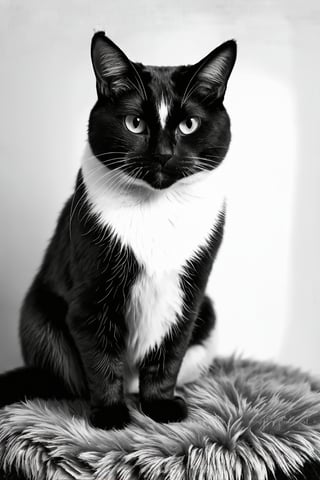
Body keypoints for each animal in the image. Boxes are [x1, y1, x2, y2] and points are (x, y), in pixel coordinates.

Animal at [0, 32, 235, 432]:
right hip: (39, 315)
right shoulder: (91, 293)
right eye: (134, 123)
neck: (158, 208)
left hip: (208, 314)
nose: (163, 153)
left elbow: (169, 351)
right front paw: (111, 417)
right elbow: (100, 356)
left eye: (188, 125)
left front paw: (161, 407)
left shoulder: (189, 293)